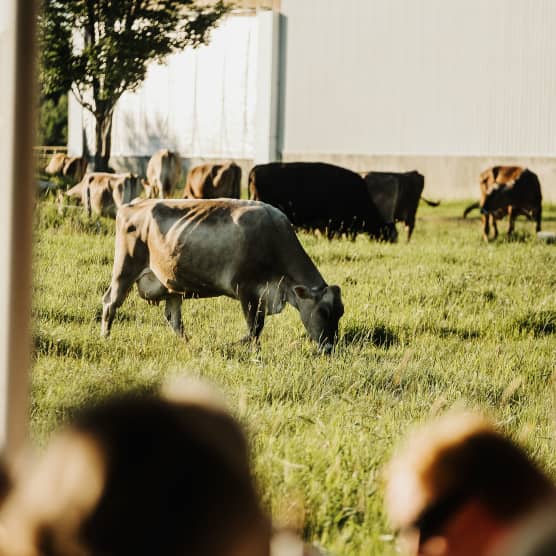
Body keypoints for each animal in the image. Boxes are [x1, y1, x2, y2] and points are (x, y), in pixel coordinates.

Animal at [100, 200, 344, 352]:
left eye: (340, 313)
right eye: (323, 311)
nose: (330, 348)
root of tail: (131, 206)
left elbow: (255, 329)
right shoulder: (247, 290)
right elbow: (254, 330)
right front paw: (250, 352)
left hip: (171, 285)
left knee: (174, 319)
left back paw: (190, 345)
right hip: (125, 269)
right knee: (110, 302)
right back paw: (105, 337)